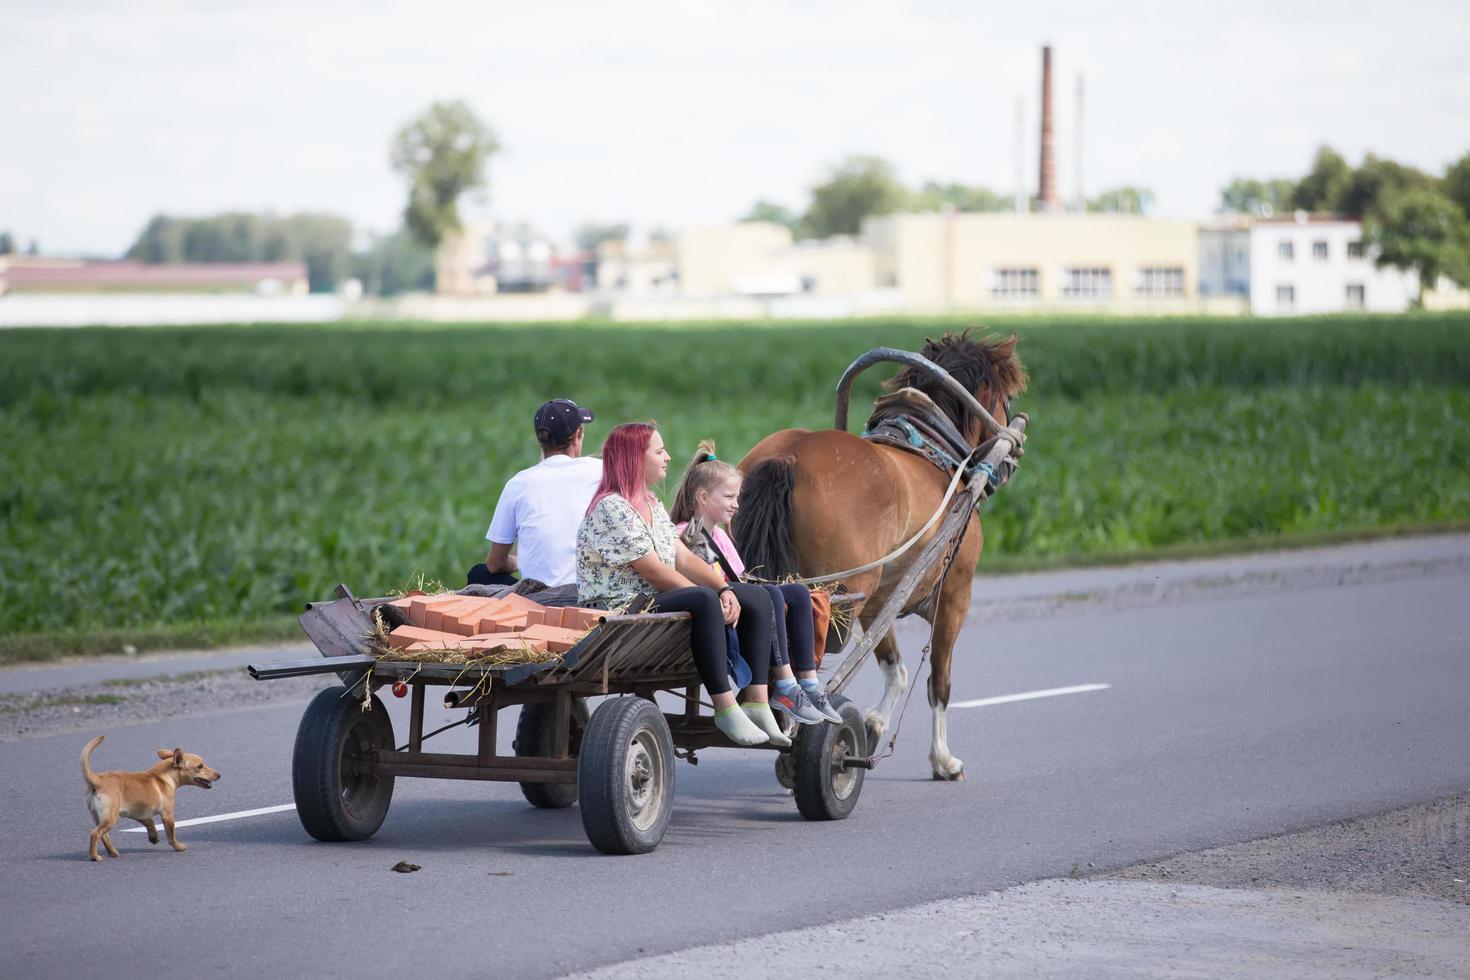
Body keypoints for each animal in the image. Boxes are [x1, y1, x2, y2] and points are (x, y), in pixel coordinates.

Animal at [80, 731, 220, 863]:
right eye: (200, 766)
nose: (219, 775)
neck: (162, 775)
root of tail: (98, 780)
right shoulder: (167, 816)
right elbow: (171, 834)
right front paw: (178, 846)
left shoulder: (137, 813)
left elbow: (150, 822)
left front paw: (154, 837)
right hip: (111, 818)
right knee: (95, 834)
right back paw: (94, 856)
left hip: (101, 817)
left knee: (104, 836)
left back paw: (113, 852)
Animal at [732, 334, 1023, 781]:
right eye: (1007, 396)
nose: (1009, 459)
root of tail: (787, 458)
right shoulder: (954, 596)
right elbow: (938, 683)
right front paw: (943, 760)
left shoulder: (881, 599)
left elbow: (894, 668)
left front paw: (874, 723)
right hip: (840, 600)